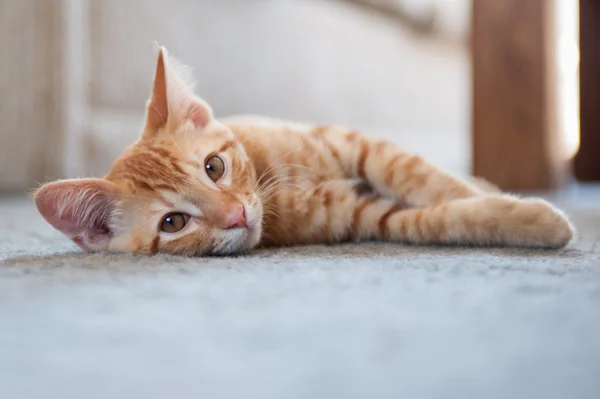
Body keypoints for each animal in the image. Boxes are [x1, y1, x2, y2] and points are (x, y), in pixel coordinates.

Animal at [31, 45, 572, 255]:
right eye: (173, 222)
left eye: (214, 167)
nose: (236, 216)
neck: (276, 186)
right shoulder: (361, 214)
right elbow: (435, 219)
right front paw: (532, 220)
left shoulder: (355, 143)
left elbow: (427, 178)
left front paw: (493, 197)